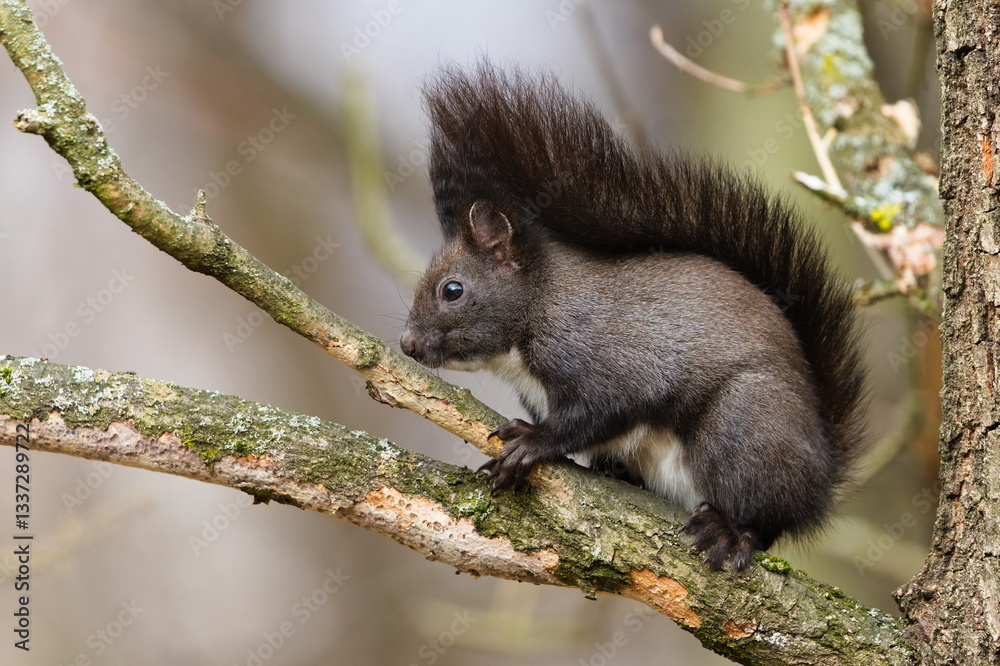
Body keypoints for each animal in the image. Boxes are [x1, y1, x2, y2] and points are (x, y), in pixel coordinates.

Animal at [399, 64, 867, 571]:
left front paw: (533, 441)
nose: (407, 344)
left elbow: (602, 410)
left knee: (763, 519)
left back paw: (729, 531)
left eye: (452, 290)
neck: (537, 309)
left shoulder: (607, 358)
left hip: (743, 428)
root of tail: (821, 478)